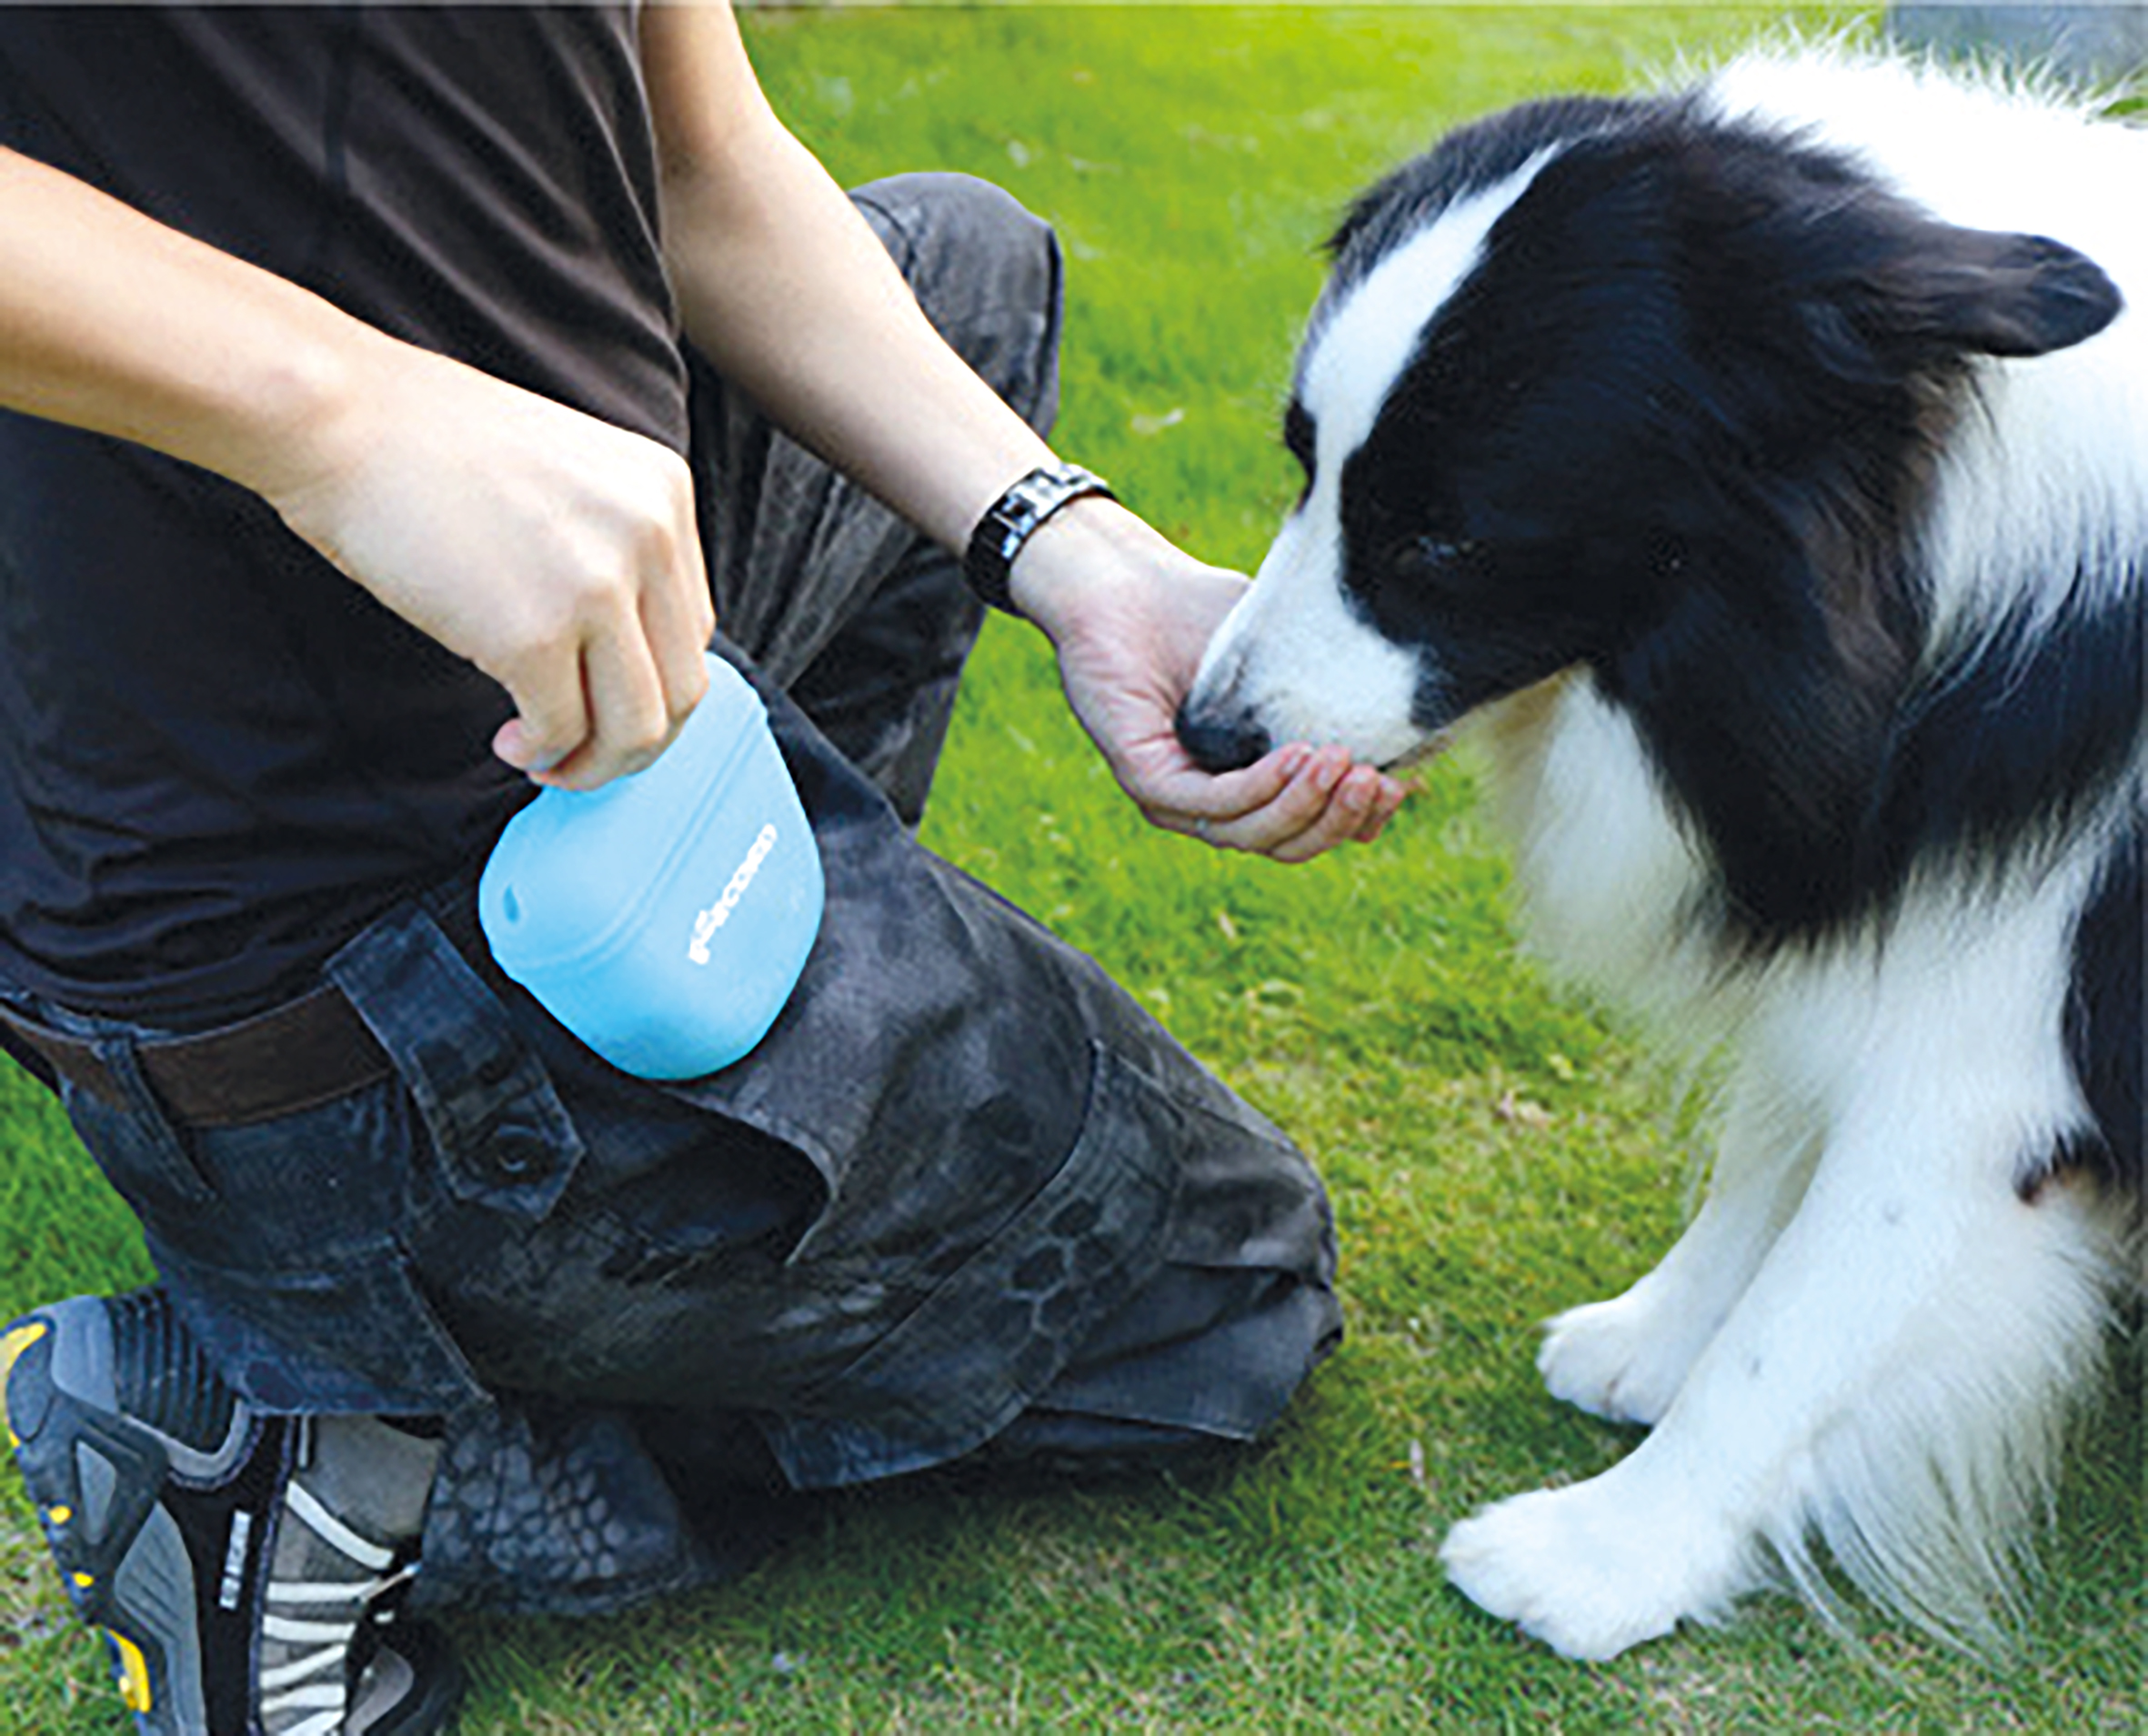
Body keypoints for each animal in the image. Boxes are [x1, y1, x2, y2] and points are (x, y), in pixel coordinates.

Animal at [1185, 47, 2139, 1658]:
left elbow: (1815, 1310)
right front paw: (1658, 1335)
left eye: (1441, 541)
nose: (1204, 731)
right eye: (1302, 466)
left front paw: (1609, 1552)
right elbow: (1772, 1146)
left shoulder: (1992, 1046)